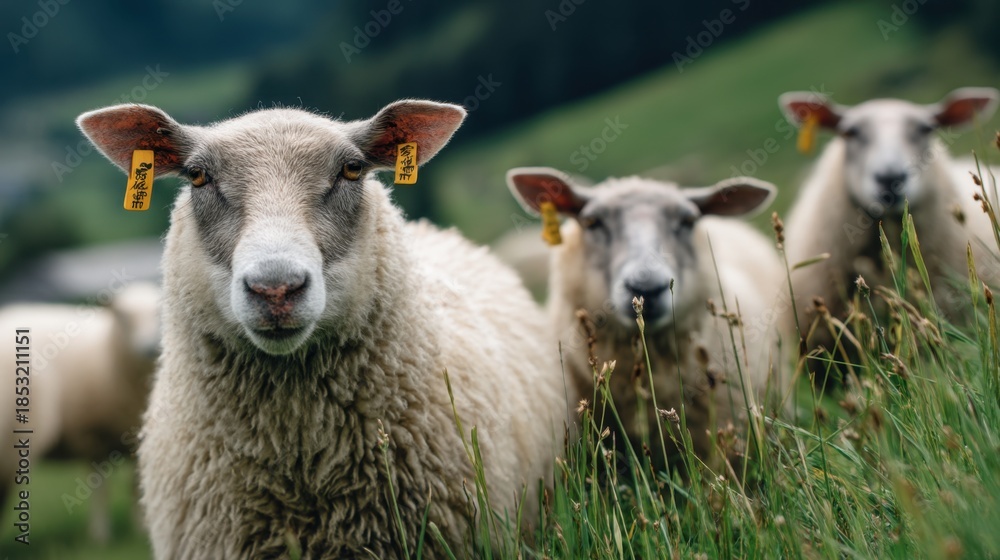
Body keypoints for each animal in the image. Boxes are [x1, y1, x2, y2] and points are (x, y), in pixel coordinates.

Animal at [0, 281, 161, 542]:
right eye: (122, 316)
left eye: (159, 311)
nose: (148, 348)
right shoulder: (91, 436)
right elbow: (101, 489)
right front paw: (100, 535)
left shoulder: (136, 439)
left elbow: (135, 486)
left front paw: (141, 530)